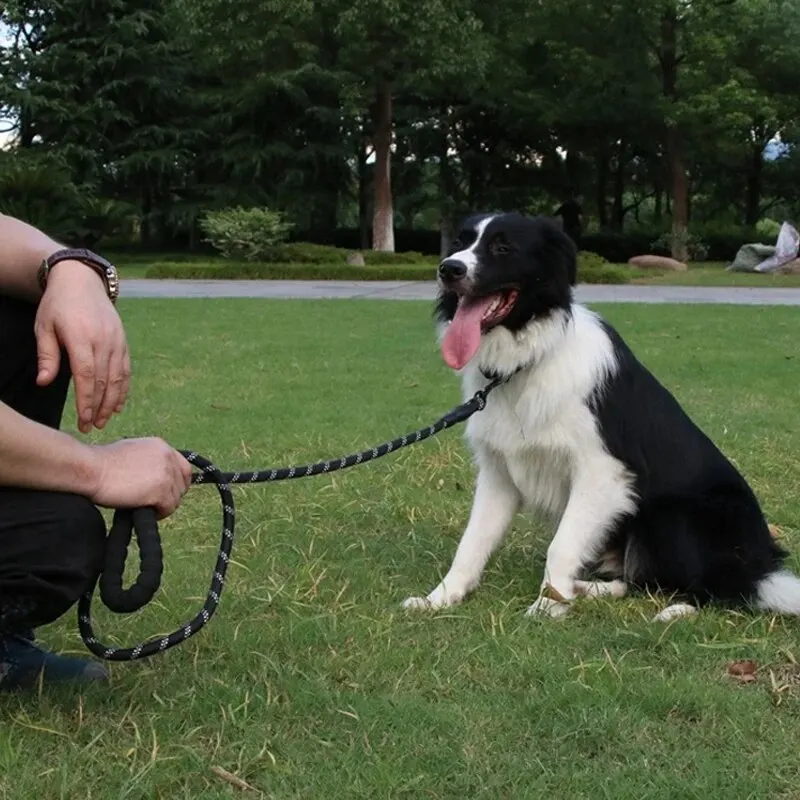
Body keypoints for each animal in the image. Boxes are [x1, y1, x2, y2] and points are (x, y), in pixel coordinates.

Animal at [406, 211, 800, 620]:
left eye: (502, 247)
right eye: (459, 243)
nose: (448, 269)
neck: (528, 360)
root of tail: (760, 565)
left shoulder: (603, 472)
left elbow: (561, 545)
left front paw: (548, 606)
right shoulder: (500, 472)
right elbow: (472, 542)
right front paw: (441, 598)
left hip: (675, 516)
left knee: (719, 589)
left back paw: (675, 610)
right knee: (636, 581)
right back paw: (588, 589)